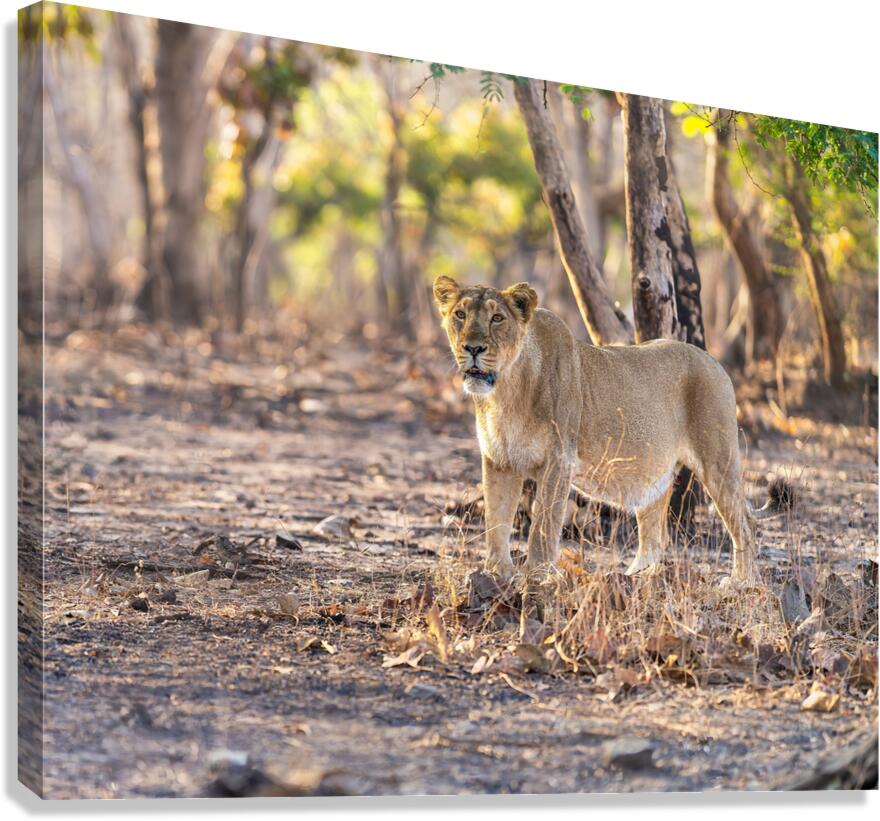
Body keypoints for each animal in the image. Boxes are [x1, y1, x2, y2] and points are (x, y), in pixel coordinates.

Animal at [433, 275, 784, 587]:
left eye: (497, 318)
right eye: (460, 315)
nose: (473, 348)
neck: (505, 393)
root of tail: (714, 361)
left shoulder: (558, 461)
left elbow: (543, 525)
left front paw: (536, 577)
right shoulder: (499, 462)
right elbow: (496, 520)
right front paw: (495, 574)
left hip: (717, 458)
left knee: (744, 520)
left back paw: (741, 582)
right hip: (655, 474)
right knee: (654, 534)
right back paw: (638, 577)